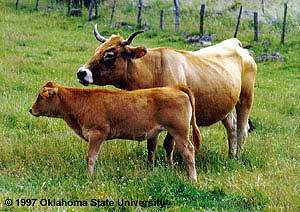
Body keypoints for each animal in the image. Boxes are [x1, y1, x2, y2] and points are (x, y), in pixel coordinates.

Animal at [29, 82, 202, 181]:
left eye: (41, 97)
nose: (30, 110)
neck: (81, 103)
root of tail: (175, 87)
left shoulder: (97, 134)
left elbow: (91, 157)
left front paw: (89, 176)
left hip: (180, 132)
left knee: (188, 151)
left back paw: (192, 179)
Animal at [76, 24, 256, 160]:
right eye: (97, 50)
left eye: (109, 55)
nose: (81, 72)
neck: (154, 70)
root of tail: (234, 43)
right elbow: (151, 144)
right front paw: (150, 166)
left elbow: (168, 144)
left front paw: (169, 166)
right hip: (225, 105)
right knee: (231, 127)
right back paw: (230, 156)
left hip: (245, 98)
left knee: (242, 129)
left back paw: (237, 157)